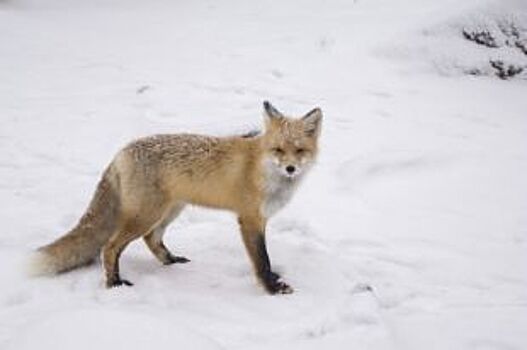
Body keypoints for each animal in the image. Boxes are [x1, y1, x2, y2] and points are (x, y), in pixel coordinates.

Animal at [32, 102, 326, 296]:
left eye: (299, 150)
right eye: (278, 150)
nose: (290, 168)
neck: (261, 168)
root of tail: (121, 152)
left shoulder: (261, 219)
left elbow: (265, 258)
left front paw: (274, 280)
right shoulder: (250, 219)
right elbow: (261, 259)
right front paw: (272, 288)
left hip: (171, 210)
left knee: (151, 238)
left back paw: (170, 261)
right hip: (146, 215)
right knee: (110, 246)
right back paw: (114, 283)